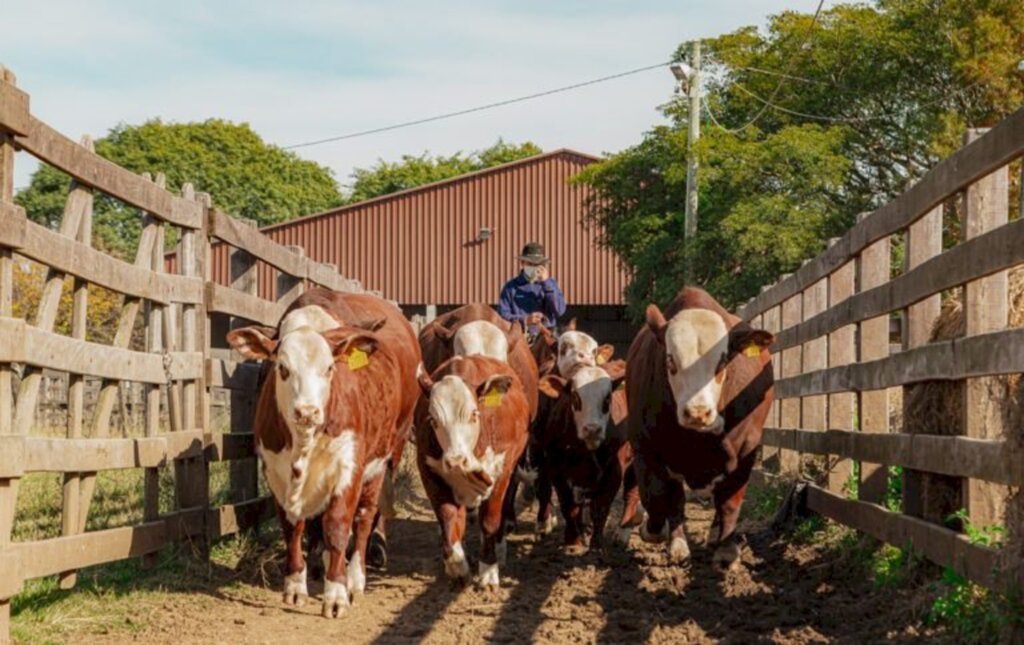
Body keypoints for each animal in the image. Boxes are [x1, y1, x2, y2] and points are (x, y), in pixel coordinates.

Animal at [230, 290, 421, 618]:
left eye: (330, 368)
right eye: (282, 368)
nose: (308, 411)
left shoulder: (349, 467)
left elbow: (337, 525)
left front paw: (336, 593)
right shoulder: (276, 471)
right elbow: (293, 527)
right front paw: (296, 584)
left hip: (384, 458)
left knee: (365, 517)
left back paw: (356, 574)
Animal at [413, 356, 528, 589]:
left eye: (474, 415)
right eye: (433, 420)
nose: (456, 460)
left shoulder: (501, 472)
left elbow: (490, 521)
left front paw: (488, 570)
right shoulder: (429, 472)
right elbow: (448, 517)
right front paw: (458, 567)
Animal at [536, 358, 638, 552]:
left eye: (608, 398)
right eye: (575, 396)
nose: (592, 429)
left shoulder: (613, 473)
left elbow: (600, 510)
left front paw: (596, 545)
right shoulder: (557, 471)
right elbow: (569, 507)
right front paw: (573, 540)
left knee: (631, 492)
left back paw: (622, 533)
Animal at [622, 288, 774, 569]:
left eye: (722, 363)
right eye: (670, 361)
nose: (697, 412)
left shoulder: (747, 451)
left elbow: (730, 502)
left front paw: (726, 549)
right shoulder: (646, 449)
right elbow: (658, 499)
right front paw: (656, 532)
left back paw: (715, 536)